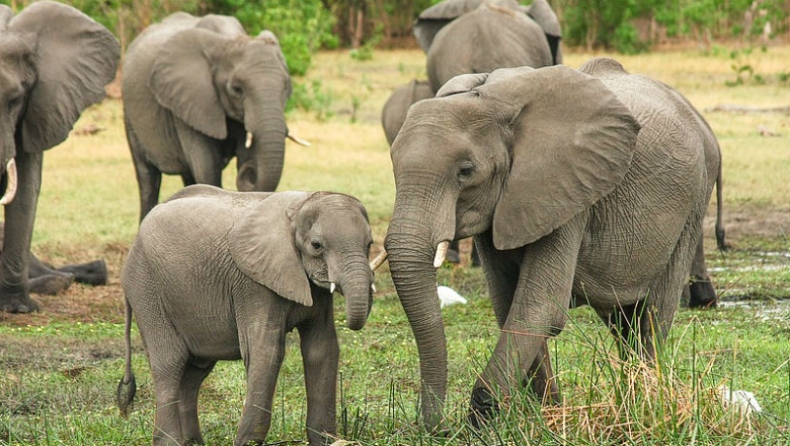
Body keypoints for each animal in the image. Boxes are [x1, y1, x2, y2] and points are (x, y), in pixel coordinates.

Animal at [118, 184, 378, 446]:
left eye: (369, 244)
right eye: (316, 245)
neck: (300, 205)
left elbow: (322, 349)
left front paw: (327, 440)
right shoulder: (252, 284)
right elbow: (266, 350)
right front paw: (248, 442)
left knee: (194, 372)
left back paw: (192, 442)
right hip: (146, 289)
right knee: (170, 363)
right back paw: (171, 441)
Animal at [124, 13, 306, 222]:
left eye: (286, 86)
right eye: (237, 89)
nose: (250, 171)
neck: (229, 40)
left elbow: (244, 155)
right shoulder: (190, 102)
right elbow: (207, 168)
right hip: (130, 115)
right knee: (148, 179)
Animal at [380, 57, 728, 426]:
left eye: (465, 171)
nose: (439, 429)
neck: (491, 100)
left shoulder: (567, 190)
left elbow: (539, 308)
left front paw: (483, 422)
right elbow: (509, 305)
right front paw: (546, 415)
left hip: (693, 202)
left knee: (653, 314)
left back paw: (645, 406)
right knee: (624, 322)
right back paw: (630, 402)